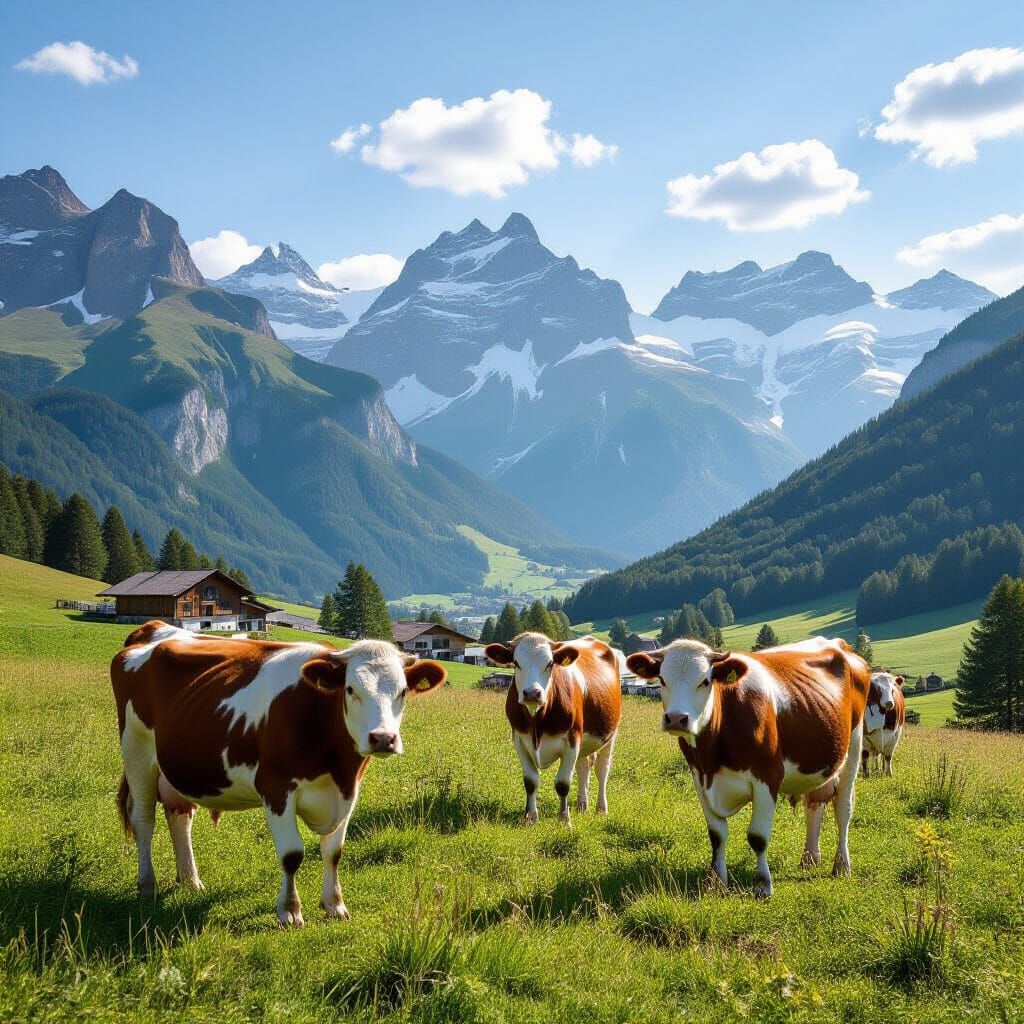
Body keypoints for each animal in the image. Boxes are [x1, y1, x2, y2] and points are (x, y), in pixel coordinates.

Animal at [111, 621, 446, 927]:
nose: (383, 738)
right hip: (136, 752)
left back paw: (191, 880)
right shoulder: (276, 788)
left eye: (403, 691)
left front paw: (335, 905)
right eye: (351, 689)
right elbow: (292, 854)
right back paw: (147, 885)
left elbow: (333, 852)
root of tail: (152, 628)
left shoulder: (348, 791)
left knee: (179, 816)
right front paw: (290, 911)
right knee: (144, 821)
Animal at [485, 633, 621, 827]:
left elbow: (563, 783)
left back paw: (601, 809)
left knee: (602, 769)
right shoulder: (519, 740)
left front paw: (564, 819)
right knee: (583, 766)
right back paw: (582, 805)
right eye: (516, 663)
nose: (532, 693)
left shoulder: (572, 740)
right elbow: (530, 781)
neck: (537, 722)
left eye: (550, 663)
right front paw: (530, 817)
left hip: (610, 734)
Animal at [626, 636, 869, 898]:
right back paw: (809, 858)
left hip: (853, 749)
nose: (676, 718)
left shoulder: (767, 777)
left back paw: (841, 865)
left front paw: (763, 885)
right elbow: (717, 835)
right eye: (662, 679)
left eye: (705, 681)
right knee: (814, 804)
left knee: (843, 808)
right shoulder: (699, 777)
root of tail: (839, 644)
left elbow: (758, 837)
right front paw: (716, 881)